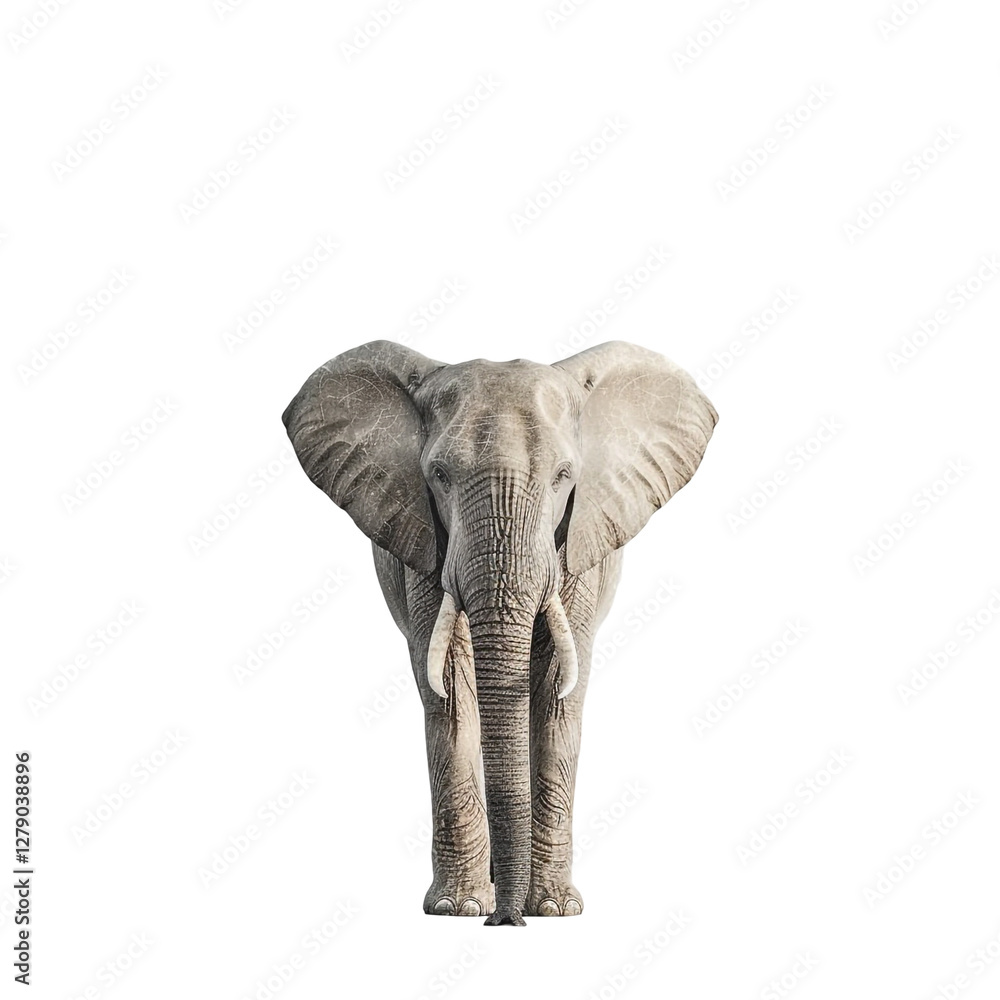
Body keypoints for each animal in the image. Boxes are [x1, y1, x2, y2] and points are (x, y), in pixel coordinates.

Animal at [282, 339, 717, 925]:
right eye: (438, 474)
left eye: (564, 475)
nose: (505, 922)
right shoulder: (427, 542)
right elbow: (449, 684)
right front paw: (459, 907)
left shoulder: (576, 543)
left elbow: (559, 688)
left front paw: (554, 909)